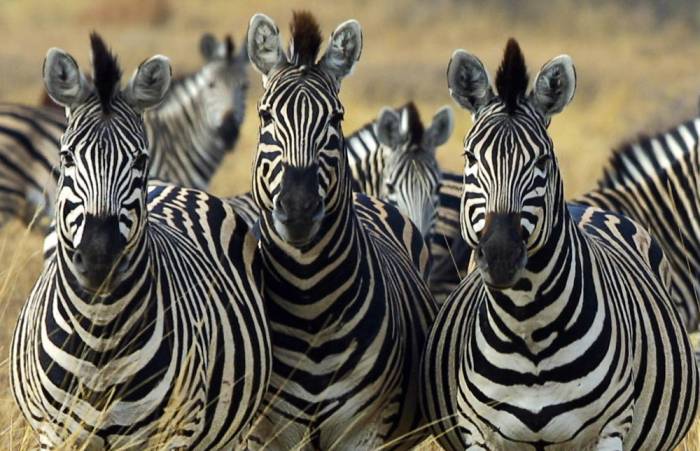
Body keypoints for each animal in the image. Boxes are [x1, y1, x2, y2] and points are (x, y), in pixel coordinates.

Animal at [244, 11, 437, 449]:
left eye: (336, 118)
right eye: (265, 116)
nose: (299, 208)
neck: (309, 303)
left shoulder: (364, 429)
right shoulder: (265, 432)